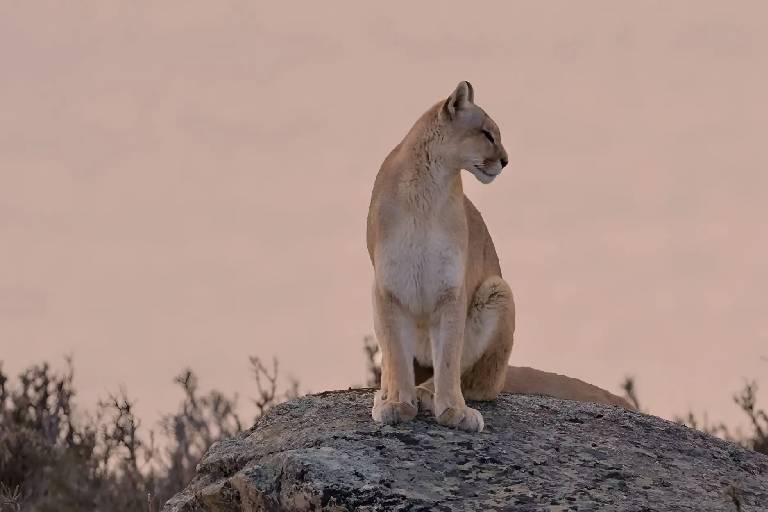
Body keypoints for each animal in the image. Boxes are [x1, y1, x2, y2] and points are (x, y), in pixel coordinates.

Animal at [366, 81, 632, 432]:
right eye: (488, 134)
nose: (506, 161)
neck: (427, 189)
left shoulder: (451, 287)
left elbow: (449, 357)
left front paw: (453, 410)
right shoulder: (388, 286)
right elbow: (396, 354)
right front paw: (396, 403)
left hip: (497, 290)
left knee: (475, 381)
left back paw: (427, 393)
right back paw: (390, 393)